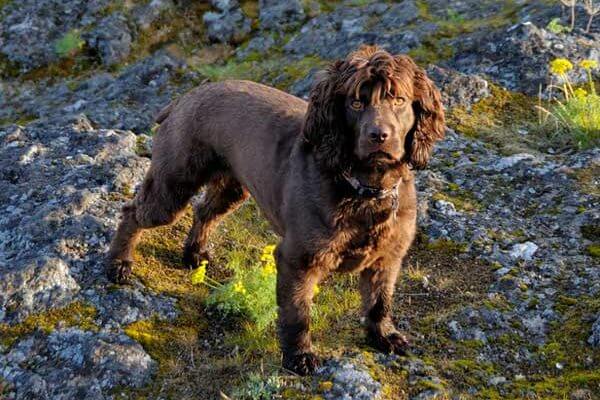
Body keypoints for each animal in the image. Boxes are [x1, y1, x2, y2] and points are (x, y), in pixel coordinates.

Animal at [106, 46, 446, 376]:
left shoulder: (387, 258)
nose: (379, 136)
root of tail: (184, 98)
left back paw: (195, 254)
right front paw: (299, 357)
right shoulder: (298, 259)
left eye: (399, 100)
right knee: (132, 212)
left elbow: (379, 302)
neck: (365, 189)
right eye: (356, 102)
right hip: (173, 186)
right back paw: (119, 265)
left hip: (232, 188)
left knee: (204, 211)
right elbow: (298, 313)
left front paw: (384, 337)